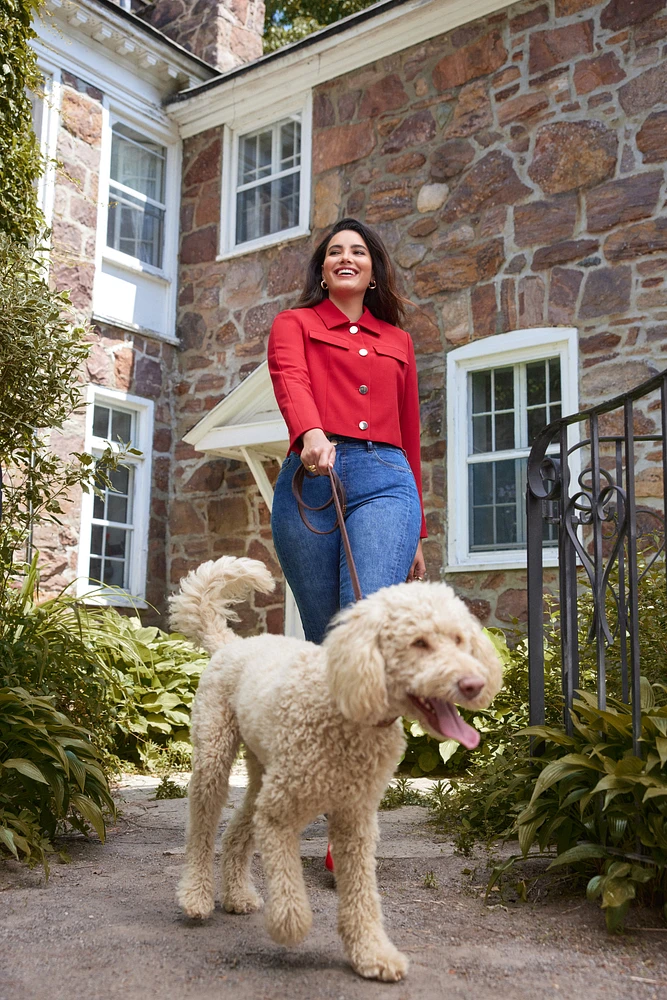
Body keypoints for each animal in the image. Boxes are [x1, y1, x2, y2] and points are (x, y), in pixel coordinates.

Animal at [170, 556, 504, 984]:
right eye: (419, 643)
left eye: (461, 640)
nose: (474, 683)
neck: (346, 708)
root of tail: (234, 644)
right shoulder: (279, 817)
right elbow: (289, 886)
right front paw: (290, 926)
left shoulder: (355, 820)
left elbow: (362, 895)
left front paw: (372, 953)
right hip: (213, 756)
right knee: (201, 827)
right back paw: (195, 895)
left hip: (263, 773)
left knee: (236, 831)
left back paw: (238, 894)